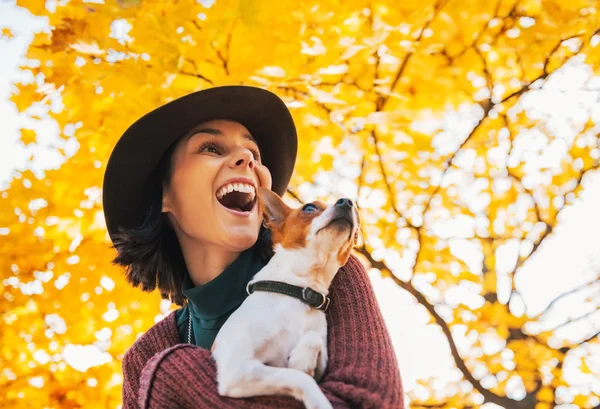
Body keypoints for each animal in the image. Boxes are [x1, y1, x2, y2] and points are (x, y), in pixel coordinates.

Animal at [212, 186, 360, 408]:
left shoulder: (321, 361)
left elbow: (313, 339)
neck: (298, 290)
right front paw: (318, 400)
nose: (347, 201)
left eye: (357, 230)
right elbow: (301, 378)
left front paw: (301, 359)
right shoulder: (238, 369)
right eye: (309, 208)